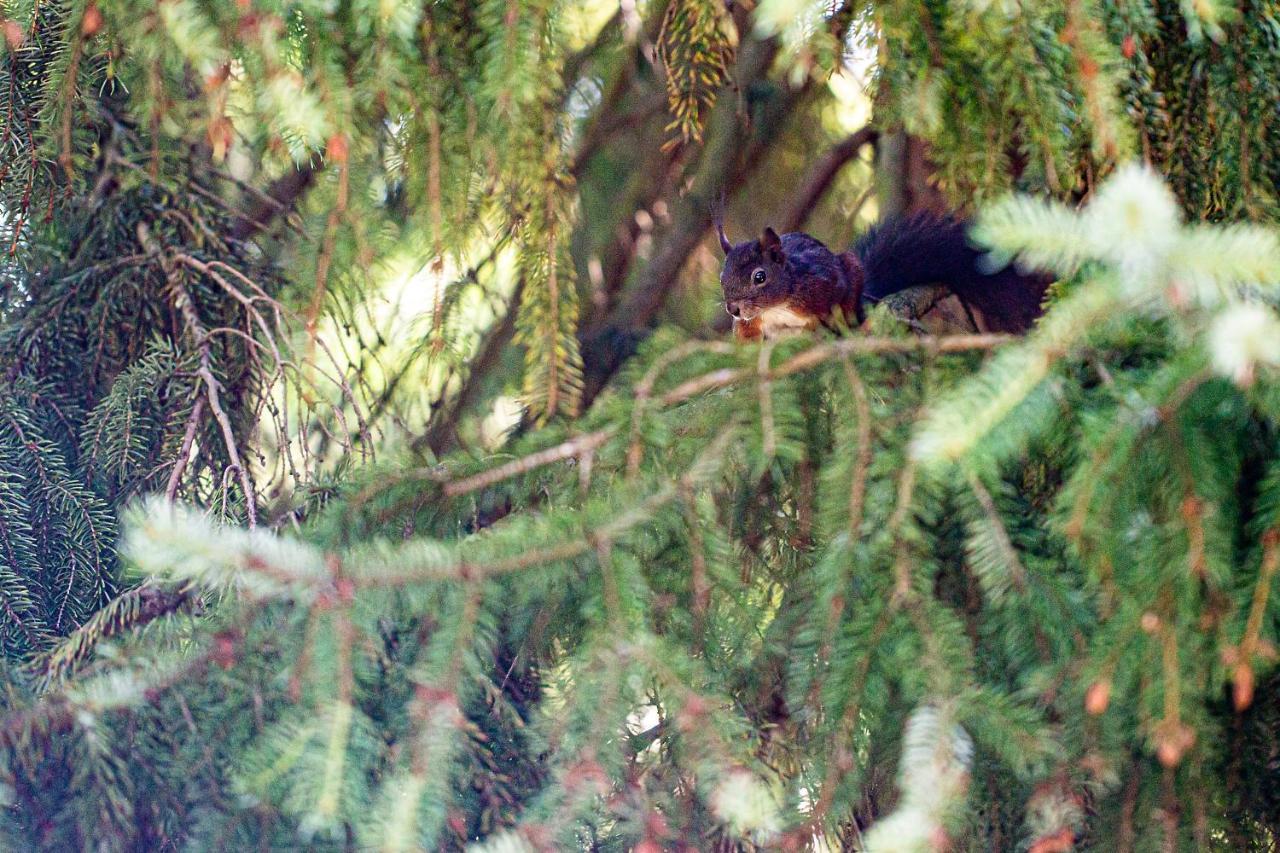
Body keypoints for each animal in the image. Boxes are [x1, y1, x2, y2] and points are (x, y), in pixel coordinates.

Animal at [721, 212, 1049, 338]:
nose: (732, 308)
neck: (776, 308)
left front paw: (825, 326)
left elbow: (835, 301)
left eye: (760, 277)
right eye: (722, 278)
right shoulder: (751, 324)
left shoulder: (822, 281)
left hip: (852, 269)